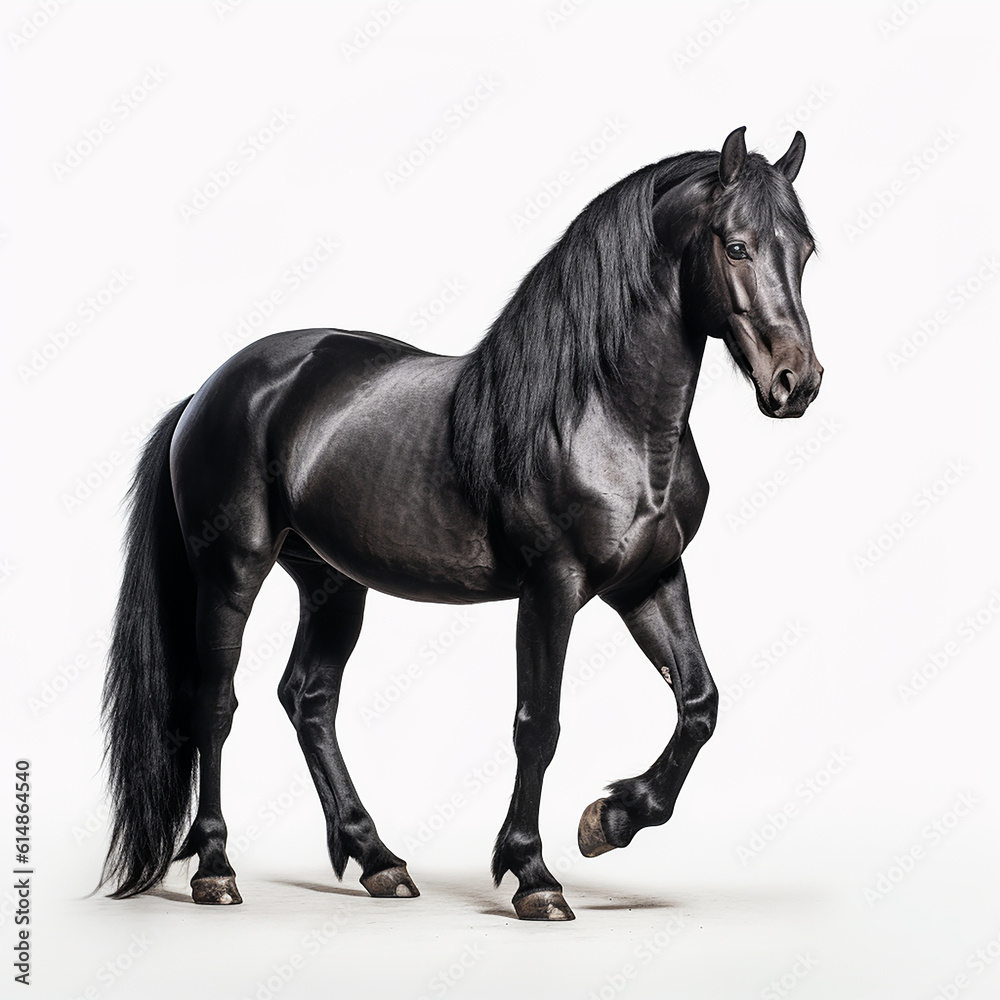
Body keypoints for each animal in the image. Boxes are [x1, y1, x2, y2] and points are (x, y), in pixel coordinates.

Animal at [100, 126, 822, 921]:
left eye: (805, 249)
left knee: (309, 699)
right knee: (214, 705)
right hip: (233, 570)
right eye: (735, 245)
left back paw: (378, 859)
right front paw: (533, 874)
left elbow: (699, 703)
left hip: (331, 581)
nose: (796, 382)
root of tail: (214, 388)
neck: (605, 416)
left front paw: (611, 820)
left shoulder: (650, 581)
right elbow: (538, 725)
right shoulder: (552, 587)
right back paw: (216, 868)